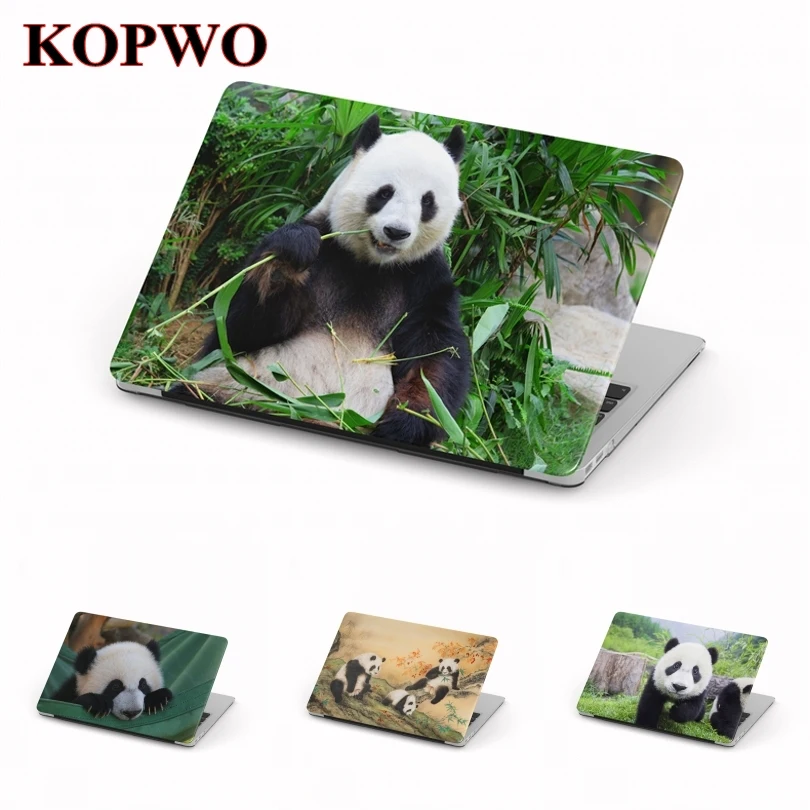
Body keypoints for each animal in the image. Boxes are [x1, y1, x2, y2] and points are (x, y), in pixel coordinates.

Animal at [179, 114, 470, 446]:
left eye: (427, 202)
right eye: (385, 192)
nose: (396, 232)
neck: (371, 264)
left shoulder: (423, 279)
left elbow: (437, 354)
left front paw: (407, 421)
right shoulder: (325, 246)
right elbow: (235, 331)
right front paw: (290, 254)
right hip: (234, 387)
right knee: (199, 388)